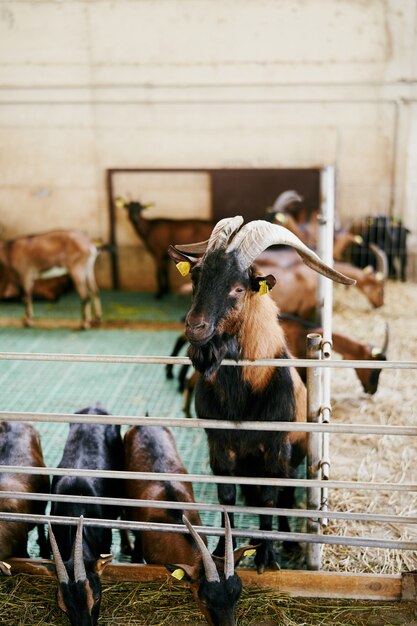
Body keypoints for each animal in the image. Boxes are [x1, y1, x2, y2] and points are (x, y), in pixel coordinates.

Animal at [167, 214, 352, 572]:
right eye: (195, 277)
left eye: (239, 287)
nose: (194, 327)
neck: (242, 398)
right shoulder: (219, 445)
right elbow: (227, 499)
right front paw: (222, 553)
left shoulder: (275, 446)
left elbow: (269, 497)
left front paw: (267, 556)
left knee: (284, 498)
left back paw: (285, 541)